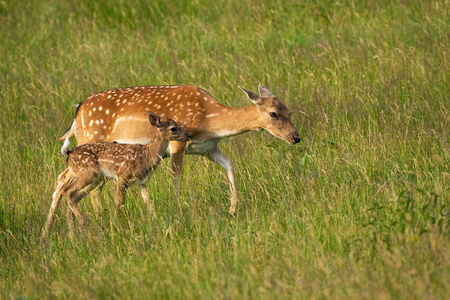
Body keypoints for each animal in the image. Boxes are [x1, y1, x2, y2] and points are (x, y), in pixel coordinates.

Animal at [59, 85, 298, 214]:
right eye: (273, 114)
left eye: (289, 111)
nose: (296, 137)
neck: (209, 122)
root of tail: (77, 111)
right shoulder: (177, 143)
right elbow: (177, 177)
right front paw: (178, 212)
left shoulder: (208, 148)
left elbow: (230, 164)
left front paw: (232, 209)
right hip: (91, 139)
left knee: (62, 179)